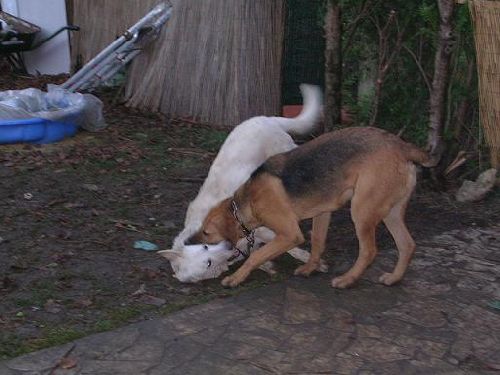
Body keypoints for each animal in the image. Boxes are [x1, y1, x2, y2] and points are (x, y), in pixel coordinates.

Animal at [158, 84, 326, 282]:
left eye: (206, 247)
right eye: (208, 263)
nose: (228, 247)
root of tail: (265, 119)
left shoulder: (264, 227)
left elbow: (289, 244)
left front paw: (310, 260)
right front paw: (266, 266)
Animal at [189, 126, 436, 288]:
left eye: (206, 232)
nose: (189, 241)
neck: (245, 202)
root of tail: (402, 146)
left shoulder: (290, 234)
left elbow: (255, 256)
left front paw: (236, 278)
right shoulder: (322, 213)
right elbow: (317, 242)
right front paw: (311, 268)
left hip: (361, 211)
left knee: (369, 251)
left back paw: (347, 279)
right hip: (390, 213)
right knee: (407, 245)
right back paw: (394, 278)